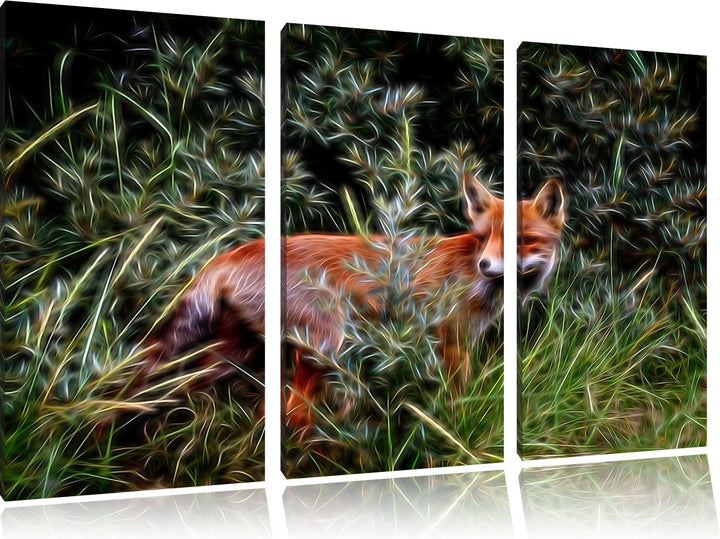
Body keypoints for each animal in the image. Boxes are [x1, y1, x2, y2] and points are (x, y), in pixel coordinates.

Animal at [152, 174, 565, 427]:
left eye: (521, 241)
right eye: (483, 238)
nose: (485, 265)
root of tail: (232, 252)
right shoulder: (450, 339)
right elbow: (457, 394)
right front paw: (455, 424)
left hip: (235, 350)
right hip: (325, 347)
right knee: (293, 412)